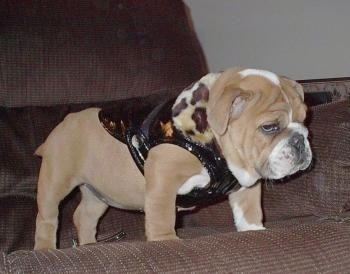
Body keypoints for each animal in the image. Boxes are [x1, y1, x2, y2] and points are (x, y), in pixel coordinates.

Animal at [33, 67, 312, 249]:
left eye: (304, 120)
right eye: (269, 127)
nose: (300, 140)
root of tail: (65, 122)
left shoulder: (245, 184)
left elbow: (250, 210)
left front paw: (254, 230)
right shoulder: (164, 176)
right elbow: (162, 212)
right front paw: (164, 240)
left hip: (99, 194)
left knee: (84, 216)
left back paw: (89, 245)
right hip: (56, 182)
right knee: (48, 216)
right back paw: (46, 249)